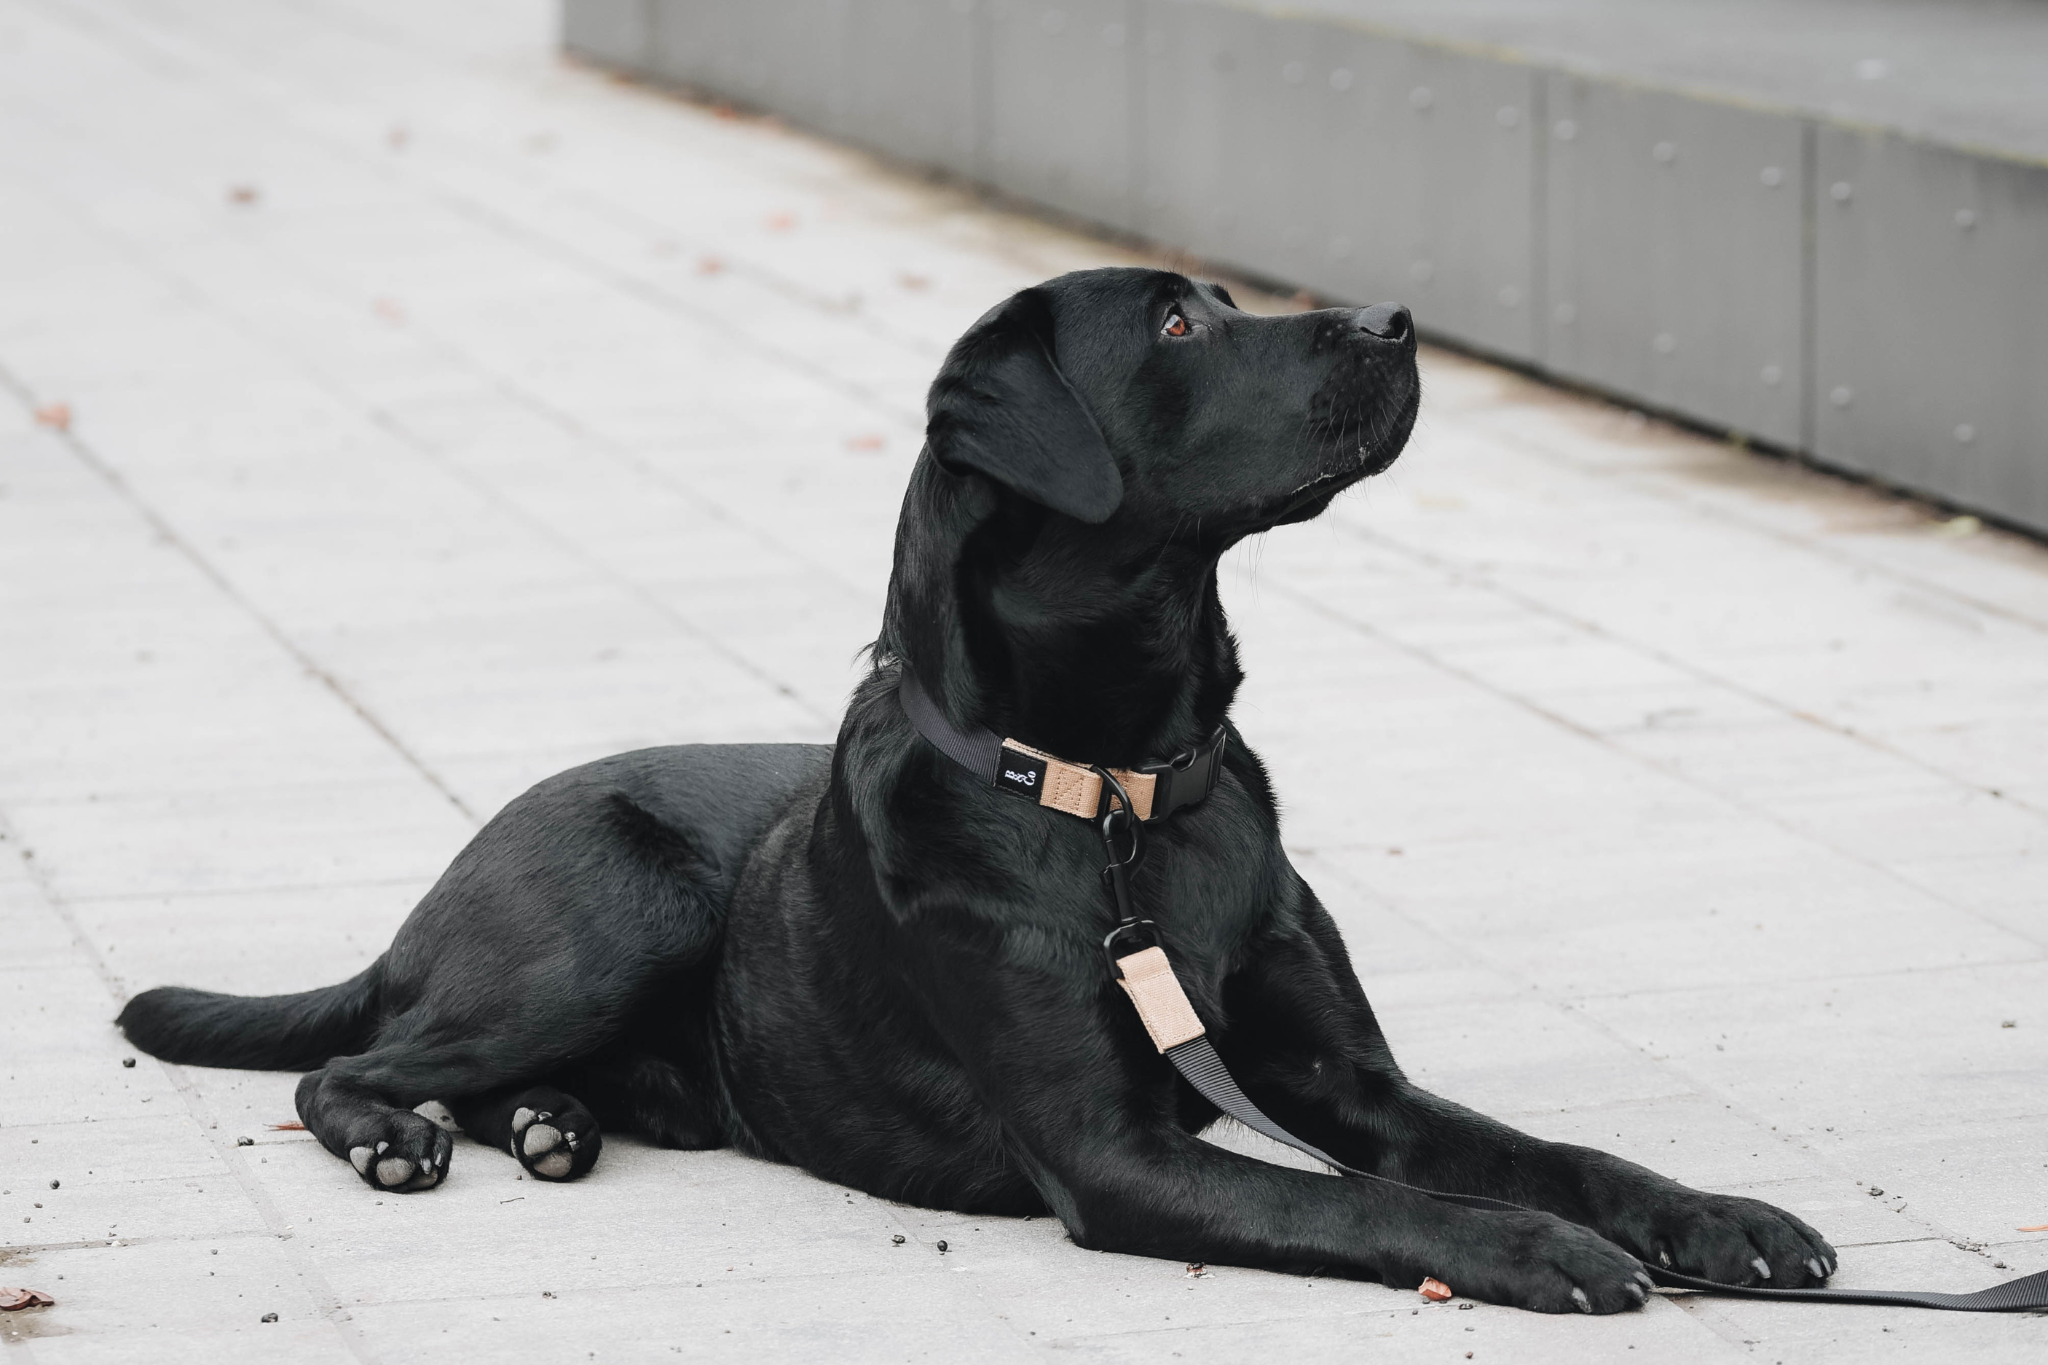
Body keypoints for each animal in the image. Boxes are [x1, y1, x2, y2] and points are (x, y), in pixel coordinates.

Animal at [119, 266, 1835, 1309]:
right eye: (1176, 330)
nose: (1397, 320)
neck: (1123, 794)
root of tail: (435, 899)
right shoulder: (1115, 1153)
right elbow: (1375, 1207)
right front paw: (1541, 1250)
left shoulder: (1352, 1085)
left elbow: (1539, 1149)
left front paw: (1712, 1216)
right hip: (602, 917)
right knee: (353, 1063)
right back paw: (395, 1134)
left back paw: (547, 1124)